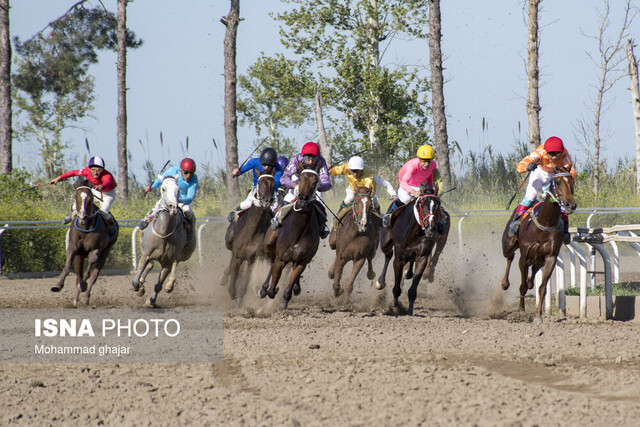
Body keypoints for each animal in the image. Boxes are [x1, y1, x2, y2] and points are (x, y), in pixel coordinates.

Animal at [131, 177, 196, 308]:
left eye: (178, 189)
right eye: (163, 188)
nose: (173, 206)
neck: (164, 232)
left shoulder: (167, 262)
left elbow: (158, 285)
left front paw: (151, 301)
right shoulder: (146, 254)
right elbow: (138, 275)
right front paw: (138, 287)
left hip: (184, 254)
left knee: (176, 262)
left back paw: (170, 285)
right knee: (150, 265)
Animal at [220, 172, 276, 302]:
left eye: (274, 184)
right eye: (260, 183)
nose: (266, 200)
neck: (252, 232)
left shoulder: (253, 258)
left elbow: (243, 286)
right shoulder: (238, 256)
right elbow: (232, 283)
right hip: (230, 243)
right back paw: (224, 277)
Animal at [258, 166, 322, 310]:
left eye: (315, 181)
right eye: (301, 178)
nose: (302, 199)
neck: (298, 230)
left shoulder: (302, 261)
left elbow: (288, 290)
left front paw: (285, 307)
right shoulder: (281, 258)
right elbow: (272, 289)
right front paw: (270, 290)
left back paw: (296, 287)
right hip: (269, 244)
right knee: (271, 262)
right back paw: (263, 288)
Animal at [372, 186, 448, 316]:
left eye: (438, 204)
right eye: (422, 204)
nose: (430, 228)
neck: (415, 231)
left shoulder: (423, 257)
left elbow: (413, 289)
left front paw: (410, 311)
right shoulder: (399, 258)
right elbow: (397, 288)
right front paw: (395, 307)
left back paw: (408, 273)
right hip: (385, 242)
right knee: (388, 255)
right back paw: (380, 282)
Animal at [500, 166, 576, 322]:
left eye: (572, 182)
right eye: (558, 182)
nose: (570, 205)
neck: (545, 221)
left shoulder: (551, 256)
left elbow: (542, 287)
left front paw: (538, 316)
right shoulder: (524, 257)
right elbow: (522, 286)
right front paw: (521, 311)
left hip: (539, 258)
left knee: (534, 268)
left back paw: (530, 282)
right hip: (508, 245)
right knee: (509, 257)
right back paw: (505, 283)